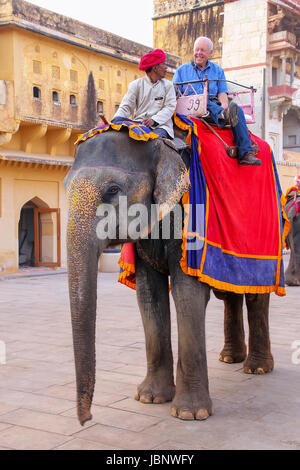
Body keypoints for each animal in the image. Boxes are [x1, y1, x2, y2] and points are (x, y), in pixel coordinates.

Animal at [66, 127, 282, 426]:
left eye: (113, 190)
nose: (86, 419)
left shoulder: (188, 217)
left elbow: (186, 293)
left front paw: (190, 414)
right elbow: (149, 293)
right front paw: (150, 398)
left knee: (255, 293)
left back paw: (257, 369)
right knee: (229, 294)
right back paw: (230, 358)